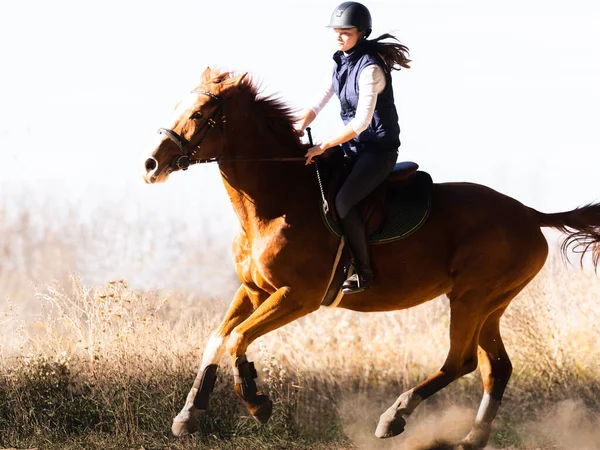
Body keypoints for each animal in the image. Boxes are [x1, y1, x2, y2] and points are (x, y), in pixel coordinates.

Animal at [142, 67, 600, 450]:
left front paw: (257, 401)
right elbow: (217, 339)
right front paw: (188, 415)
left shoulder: (297, 296)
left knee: (462, 361)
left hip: (472, 298)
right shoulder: (254, 290)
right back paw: (471, 438)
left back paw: (394, 417)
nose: (151, 164)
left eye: (199, 113)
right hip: (491, 304)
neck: (275, 202)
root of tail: (529, 213)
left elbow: (238, 338)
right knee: (496, 367)